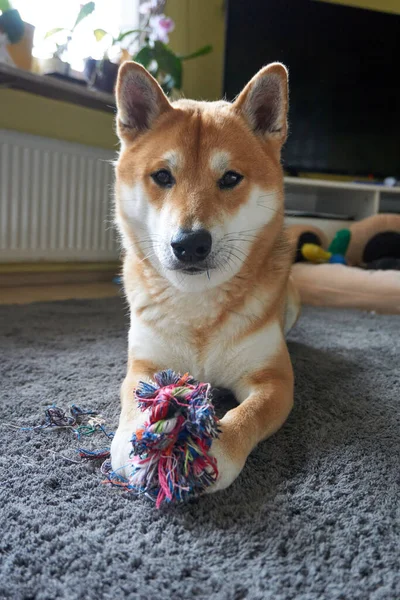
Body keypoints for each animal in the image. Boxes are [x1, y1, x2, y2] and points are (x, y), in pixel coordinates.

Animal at [111, 59, 298, 492]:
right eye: (163, 176)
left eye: (230, 178)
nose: (190, 243)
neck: (197, 302)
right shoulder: (144, 365)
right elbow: (137, 400)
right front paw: (136, 443)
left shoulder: (275, 381)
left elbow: (250, 413)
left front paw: (212, 452)